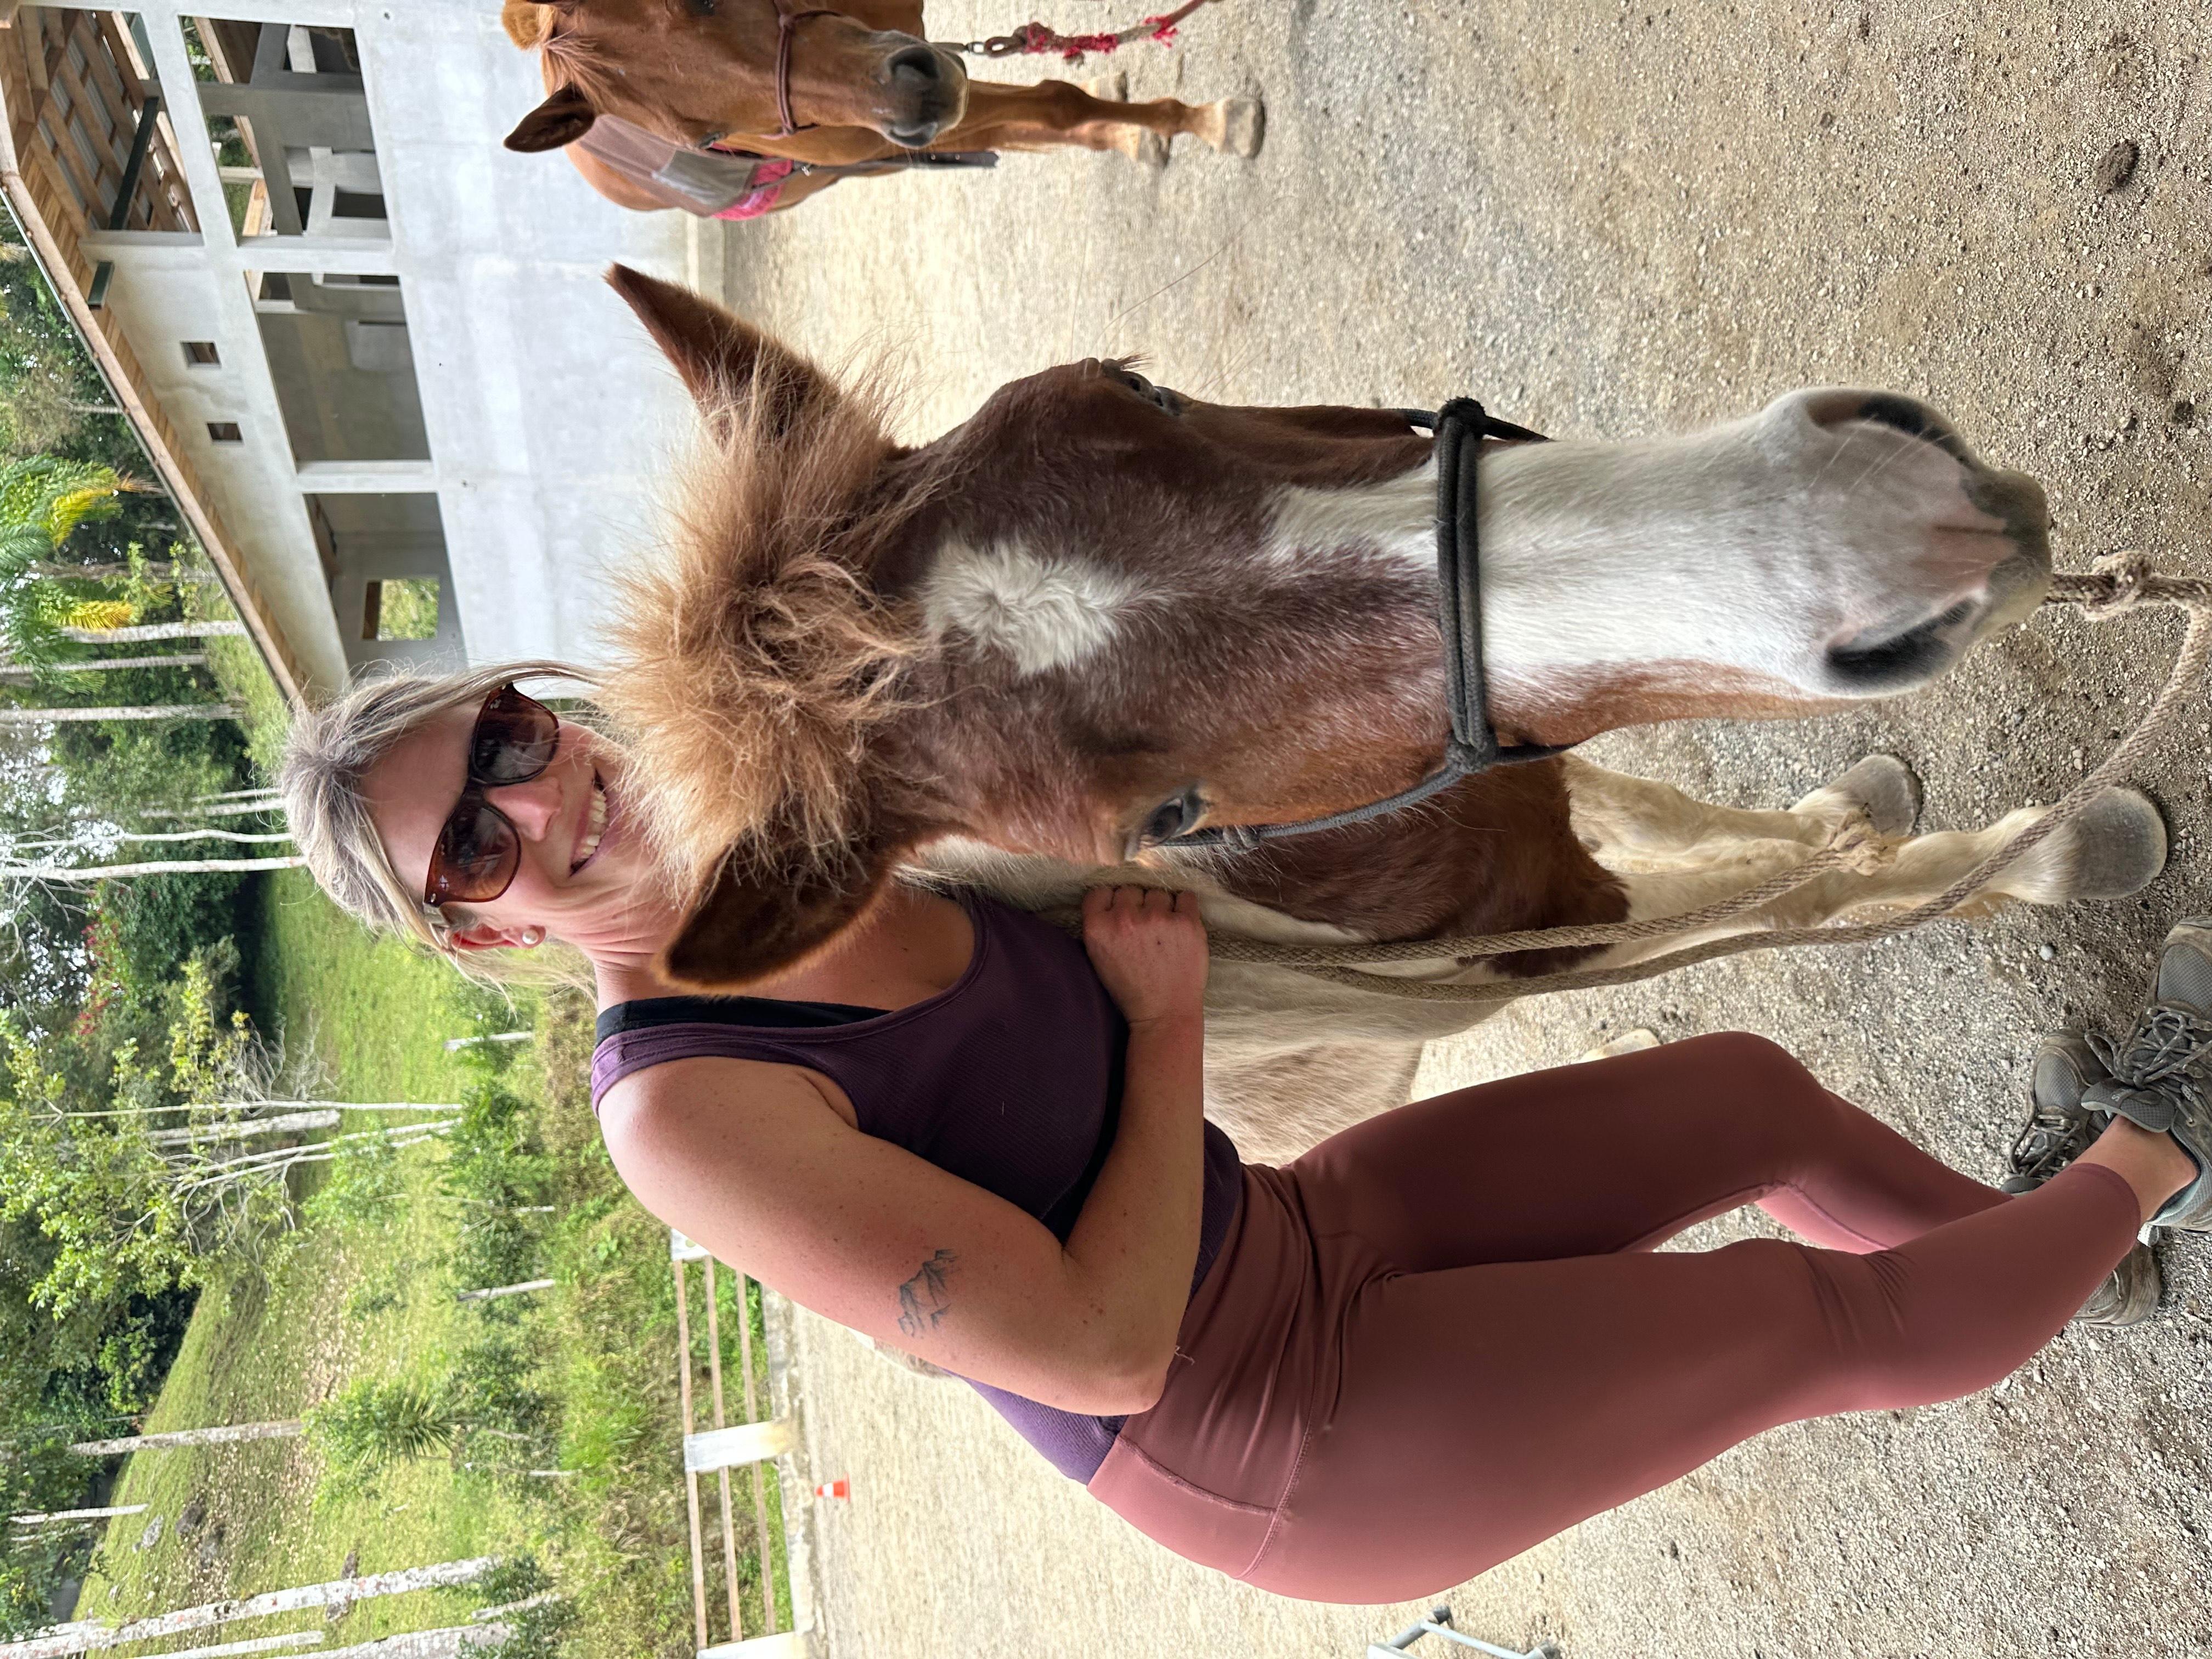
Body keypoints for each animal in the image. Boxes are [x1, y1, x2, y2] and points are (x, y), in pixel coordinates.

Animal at [594, 266, 2164, 1162]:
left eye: (1137, 383)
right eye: (1164, 819)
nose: (1881, 531)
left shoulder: (1522, 777)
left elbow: (1701, 819)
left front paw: (1863, 814)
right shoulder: (1563, 927)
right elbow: (1786, 892)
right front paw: (2049, 854)